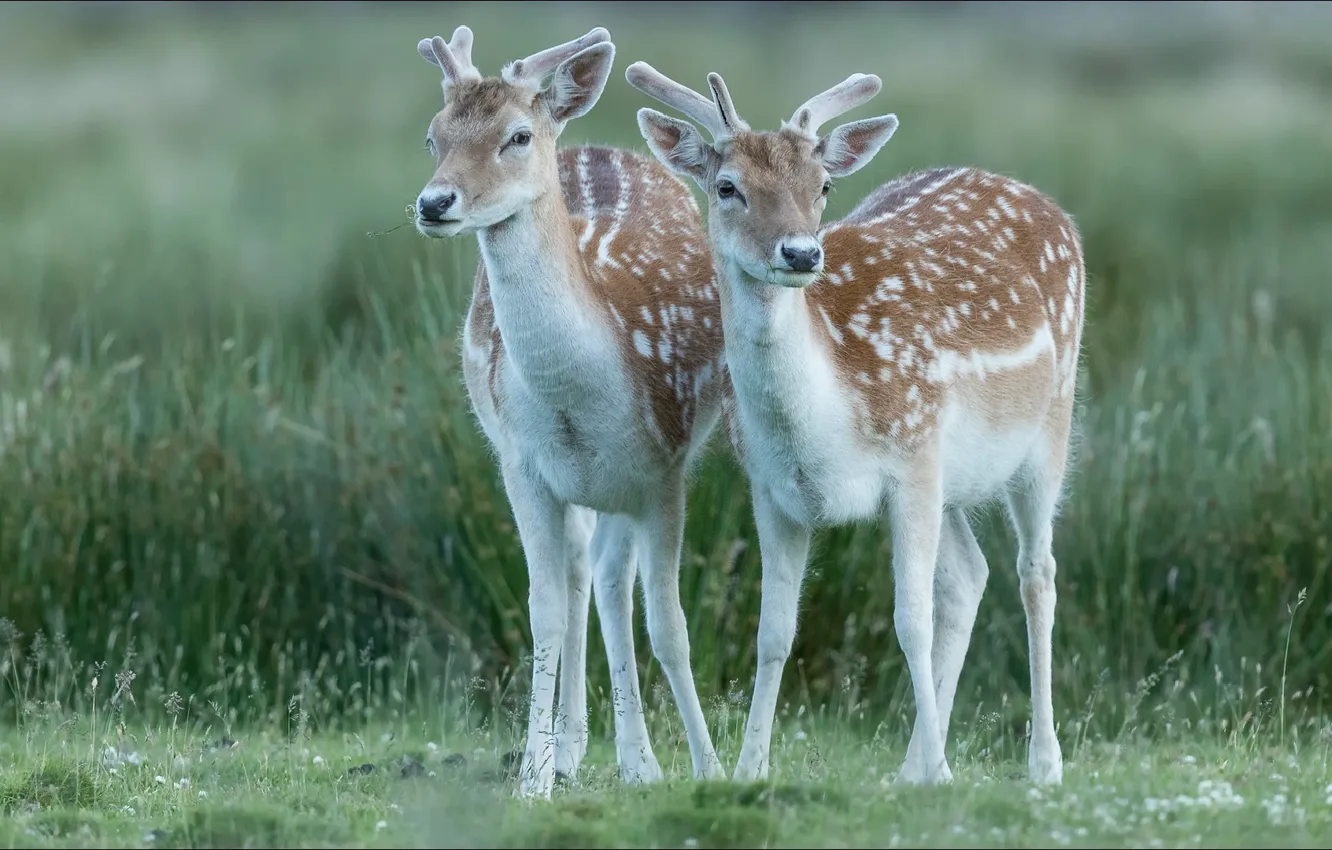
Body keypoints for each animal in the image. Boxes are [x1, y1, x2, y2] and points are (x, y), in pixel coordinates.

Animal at [409, 26, 731, 799]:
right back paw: (578, 748)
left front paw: (709, 765)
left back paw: (638, 760)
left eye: (517, 135)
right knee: (588, 572)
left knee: (614, 584)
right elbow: (545, 609)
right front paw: (532, 776)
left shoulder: (662, 468)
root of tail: (596, 144)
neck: (577, 394)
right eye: (433, 136)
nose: (435, 203)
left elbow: (668, 620)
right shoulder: (522, 468)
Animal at [624, 61, 1086, 788]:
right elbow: (774, 630)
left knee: (1035, 573)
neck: (822, 419)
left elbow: (909, 619)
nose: (800, 253)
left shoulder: (913, 460)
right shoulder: (772, 490)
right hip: (955, 481)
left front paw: (947, 773)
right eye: (728, 187)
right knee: (970, 574)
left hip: (1049, 427)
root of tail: (1052, 208)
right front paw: (749, 767)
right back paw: (912, 766)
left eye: (823, 186)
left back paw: (1041, 762)